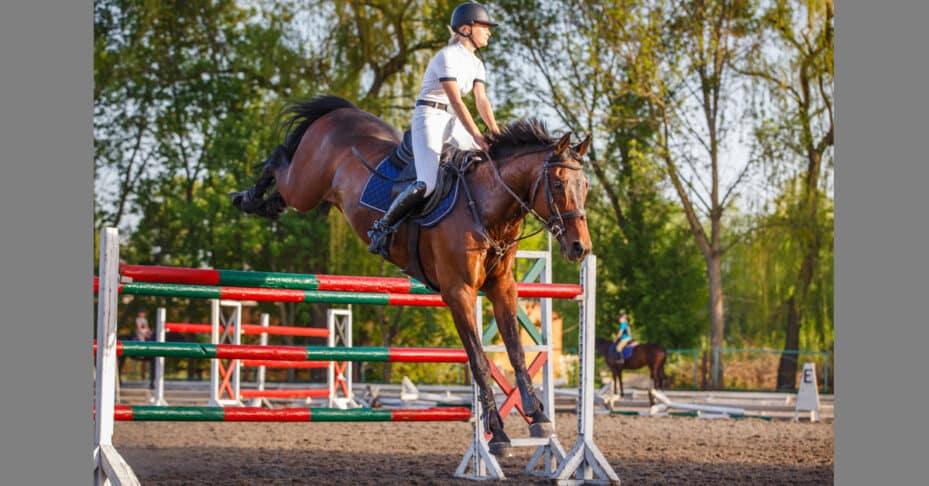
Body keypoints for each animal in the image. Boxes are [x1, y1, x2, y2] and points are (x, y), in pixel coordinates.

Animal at [229, 95, 592, 456]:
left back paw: (264, 204)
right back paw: (245, 197)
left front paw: (538, 417)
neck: (487, 206)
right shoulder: (459, 292)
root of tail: (342, 111)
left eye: (585, 186)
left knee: (281, 183)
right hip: (305, 187)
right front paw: (498, 433)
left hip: (309, 191)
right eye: (558, 183)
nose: (581, 247)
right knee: (279, 159)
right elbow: (479, 360)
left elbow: (516, 351)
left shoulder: (502, 288)